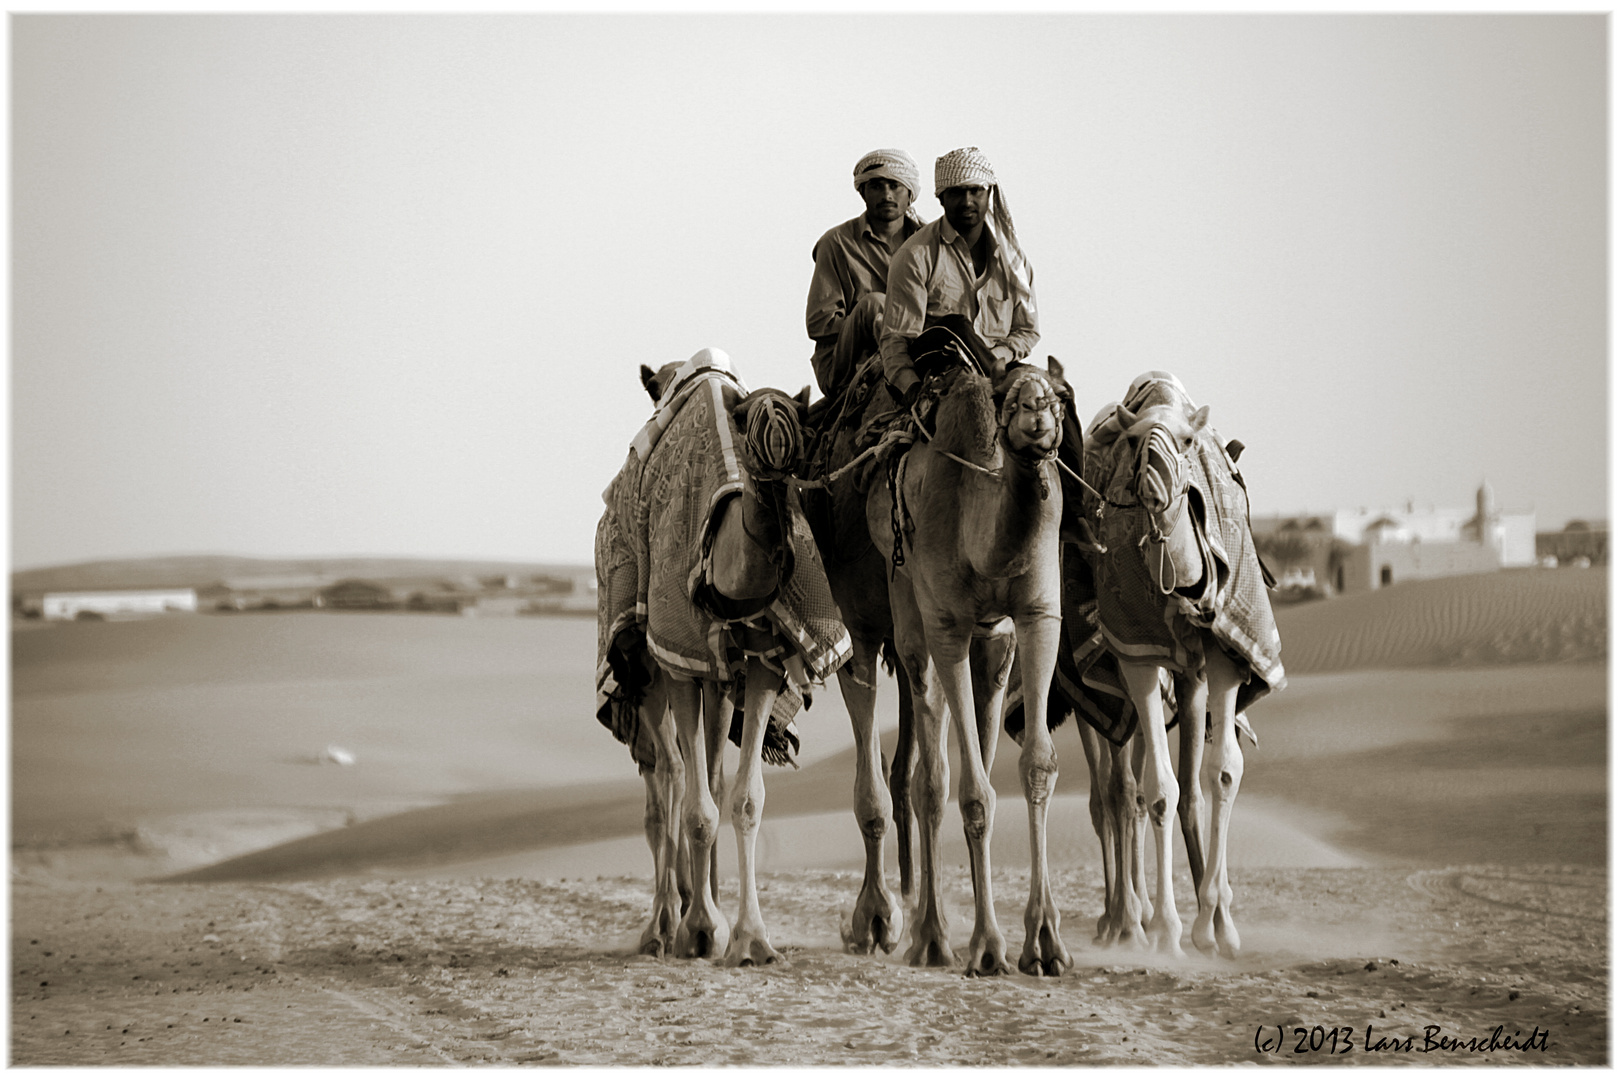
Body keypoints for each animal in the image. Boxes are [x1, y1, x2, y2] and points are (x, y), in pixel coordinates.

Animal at [868, 354, 1069, 977]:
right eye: (1011, 400)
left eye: (1057, 395)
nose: (1036, 415)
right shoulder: (949, 623)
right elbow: (973, 792)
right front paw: (986, 947)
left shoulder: (1036, 614)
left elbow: (1038, 765)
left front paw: (1045, 943)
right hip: (907, 599)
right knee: (930, 771)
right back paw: (931, 938)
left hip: (990, 642)